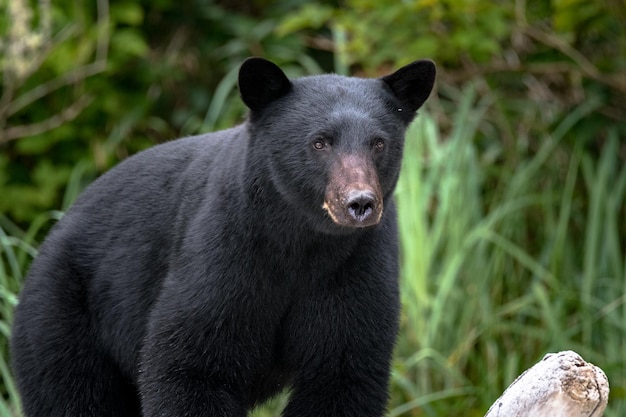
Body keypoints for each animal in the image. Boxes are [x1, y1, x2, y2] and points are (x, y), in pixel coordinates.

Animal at [11, 57, 434, 414]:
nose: (360, 203)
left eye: (378, 143)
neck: (302, 241)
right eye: (319, 142)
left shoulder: (357, 263)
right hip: (61, 313)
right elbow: (190, 362)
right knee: (71, 393)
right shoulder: (226, 247)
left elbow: (343, 372)